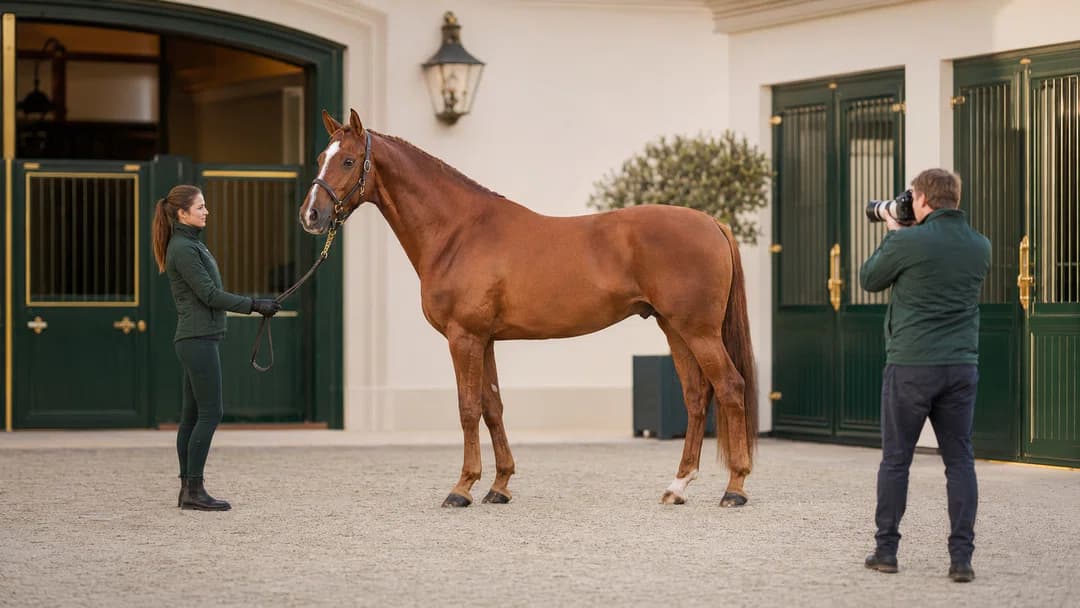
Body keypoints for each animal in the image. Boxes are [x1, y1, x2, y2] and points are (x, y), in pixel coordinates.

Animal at [299, 109, 759, 508]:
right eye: (321, 158)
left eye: (348, 160)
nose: (311, 215)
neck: (458, 232)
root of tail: (712, 222)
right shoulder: (484, 340)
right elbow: (492, 407)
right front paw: (499, 486)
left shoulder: (463, 337)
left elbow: (468, 409)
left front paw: (462, 488)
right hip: (674, 328)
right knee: (697, 395)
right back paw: (677, 487)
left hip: (698, 330)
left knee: (730, 388)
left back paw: (735, 488)